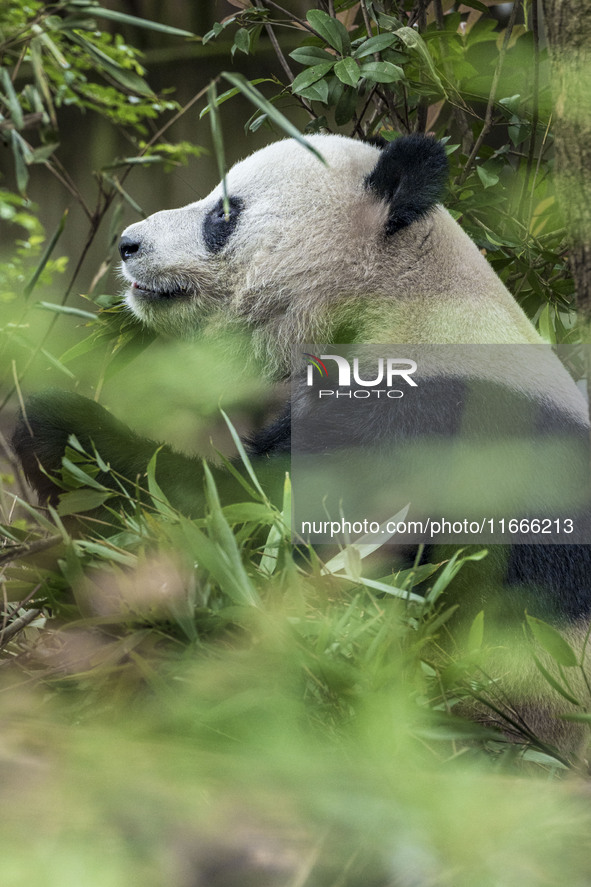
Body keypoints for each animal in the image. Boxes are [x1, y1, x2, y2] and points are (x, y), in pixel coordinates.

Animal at [11, 134, 591, 640]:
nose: (128, 243)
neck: (396, 298)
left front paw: (57, 431)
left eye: (224, 213)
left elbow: (246, 526)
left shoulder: (428, 429)